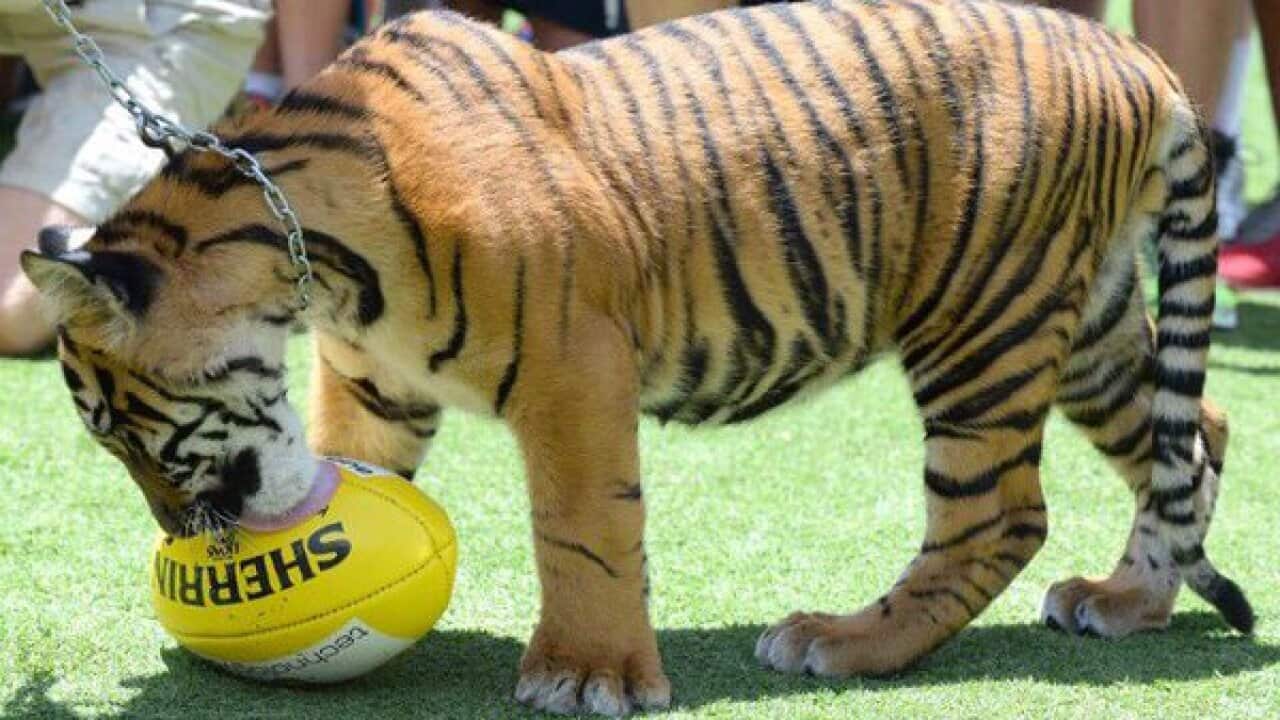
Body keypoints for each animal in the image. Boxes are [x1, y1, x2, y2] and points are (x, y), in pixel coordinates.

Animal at [20, 0, 1254, 715]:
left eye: (128, 433)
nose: (183, 543)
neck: (305, 259)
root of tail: (1131, 52)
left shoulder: (573, 365)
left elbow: (583, 529)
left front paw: (585, 674)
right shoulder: (372, 379)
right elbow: (357, 468)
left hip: (979, 323)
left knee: (996, 514)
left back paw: (842, 643)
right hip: (1079, 318)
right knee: (1195, 432)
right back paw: (1126, 602)